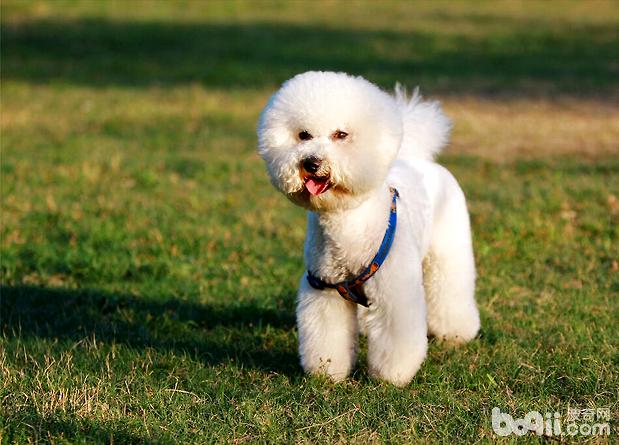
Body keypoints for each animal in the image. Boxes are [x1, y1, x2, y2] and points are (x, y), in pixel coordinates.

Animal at [256, 71, 480, 384]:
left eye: (341, 135)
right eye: (303, 135)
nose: (311, 163)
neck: (346, 221)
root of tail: (420, 158)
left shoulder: (397, 291)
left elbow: (397, 338)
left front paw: (391, 376)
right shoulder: (324, 290)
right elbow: (327, 337)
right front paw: (327, 372)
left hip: (448, 251)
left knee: (450, 289)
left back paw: (456, 332)